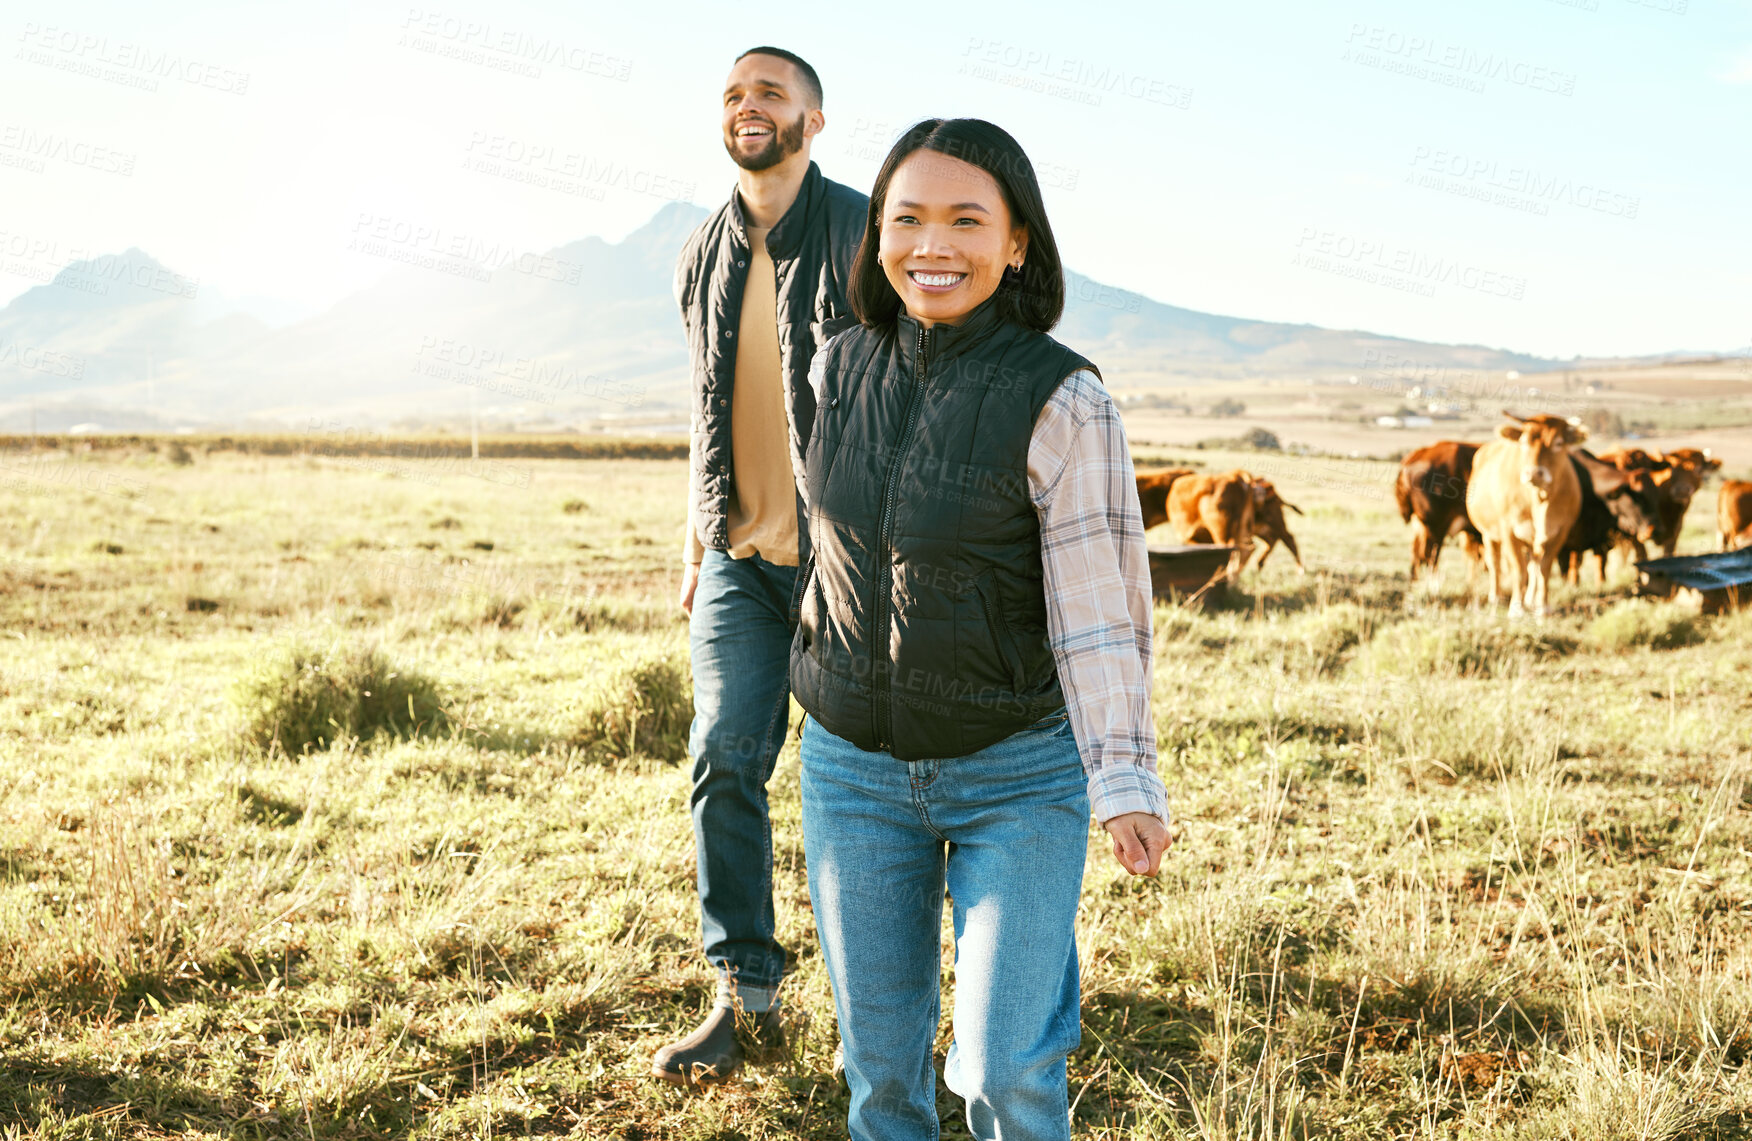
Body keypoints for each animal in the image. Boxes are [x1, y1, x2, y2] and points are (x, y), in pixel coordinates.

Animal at [1464, 415, 1590, 620]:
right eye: (1524, 442)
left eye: (1558, 443)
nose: (1534, 473)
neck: (1539, 499)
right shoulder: (1508, 531)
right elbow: (1519, 569)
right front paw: (1516, 607)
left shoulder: (1560, 533)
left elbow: (1544, 569)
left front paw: (1542, 606)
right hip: (1489, 533)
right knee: (1495, 563)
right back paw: (1496, 596)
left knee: (1534, 565)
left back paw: (1531, 599)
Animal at [1562, 448, 1653, 585]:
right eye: (1638, 497)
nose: (1652, 530)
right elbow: (1575, 561)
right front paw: (1573, 584)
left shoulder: (1602, 535)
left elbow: (1601, 561)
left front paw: (1601, 583)